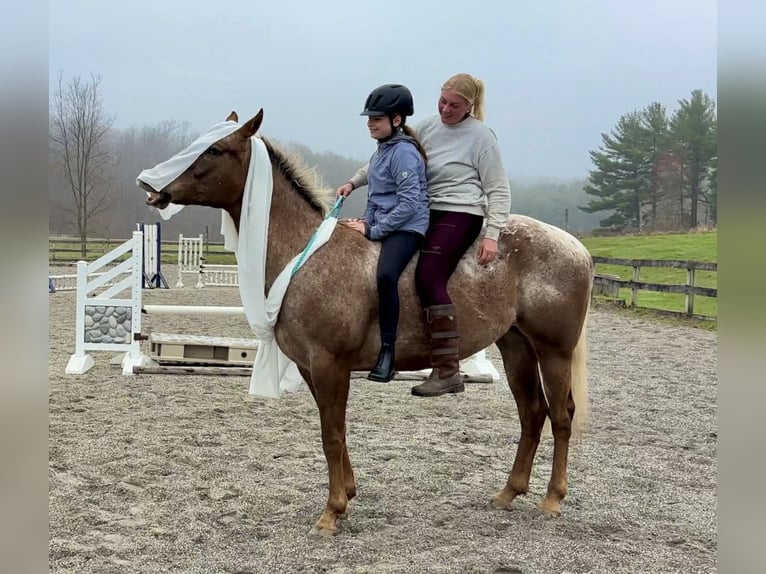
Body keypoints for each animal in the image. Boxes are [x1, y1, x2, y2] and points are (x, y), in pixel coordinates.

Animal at [137, 109, 594, 537]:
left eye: (215, 149)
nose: (151, 188)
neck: (307, 253)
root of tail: (576, 247)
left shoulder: (330, 364)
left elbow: (332, 435)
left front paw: (331, 512)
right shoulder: (312, 367)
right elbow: (333, 433)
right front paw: (348, 494)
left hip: (553, 350)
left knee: (561, 416)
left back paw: (553, 499)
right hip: (516, 346)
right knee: (532, 413)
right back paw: (508, 492)